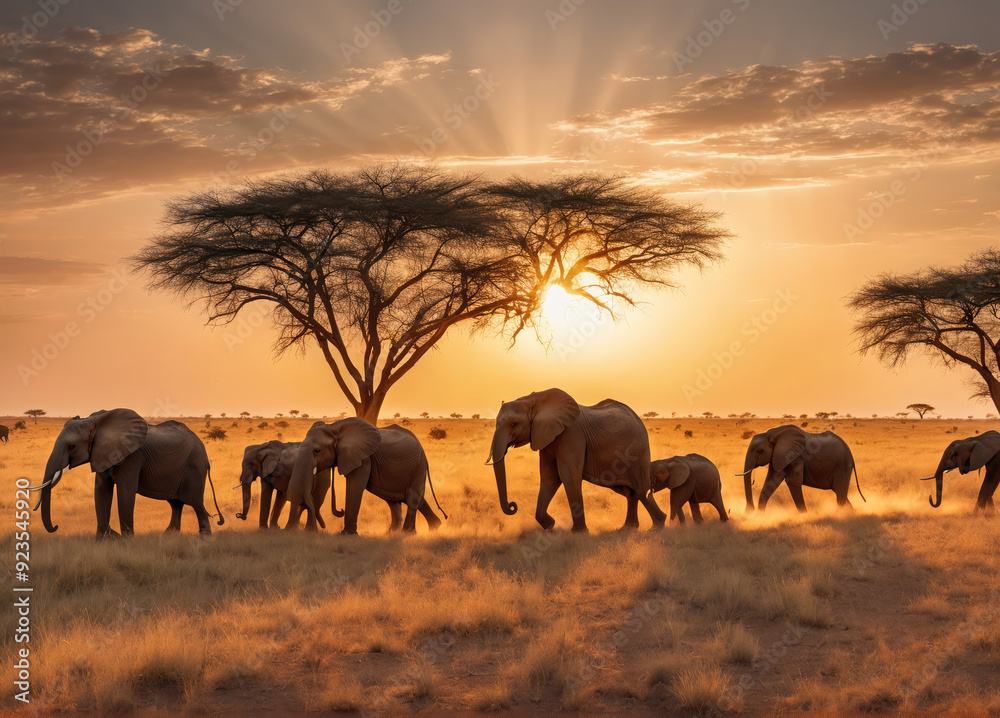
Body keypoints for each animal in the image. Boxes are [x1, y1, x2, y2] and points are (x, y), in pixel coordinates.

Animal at [31, 409, 224, 537]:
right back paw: (169, 535)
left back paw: (204, 538)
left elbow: (125, 492)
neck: (96, 422)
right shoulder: (103, 454)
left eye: (71, 446)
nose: (56, 527)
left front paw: (126, 542)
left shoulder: (132, 457)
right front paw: (103, 539)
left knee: (196, 503)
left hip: (195, 467)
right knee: (176, 503)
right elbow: (101, 492)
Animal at [285, 418, 446, 534]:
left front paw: (347, 534)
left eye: (317, 451)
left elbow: (355, 486)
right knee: (399, 499)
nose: (340, 511)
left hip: (418, 465)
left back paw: (408, 534)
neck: (335, 427)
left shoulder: (364, 458)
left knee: (412, 496)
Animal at [486, 388, 666, 532]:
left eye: (513, 424)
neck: (534, 399)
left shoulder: (572, 434)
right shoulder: (546, 437)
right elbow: (549, 478)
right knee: (631, 493)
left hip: (638, 452)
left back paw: (658, 526)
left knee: (641, 491)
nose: (513, 505)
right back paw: (628, 529)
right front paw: (550, 525)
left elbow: (569, 475)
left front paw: (579, 532)